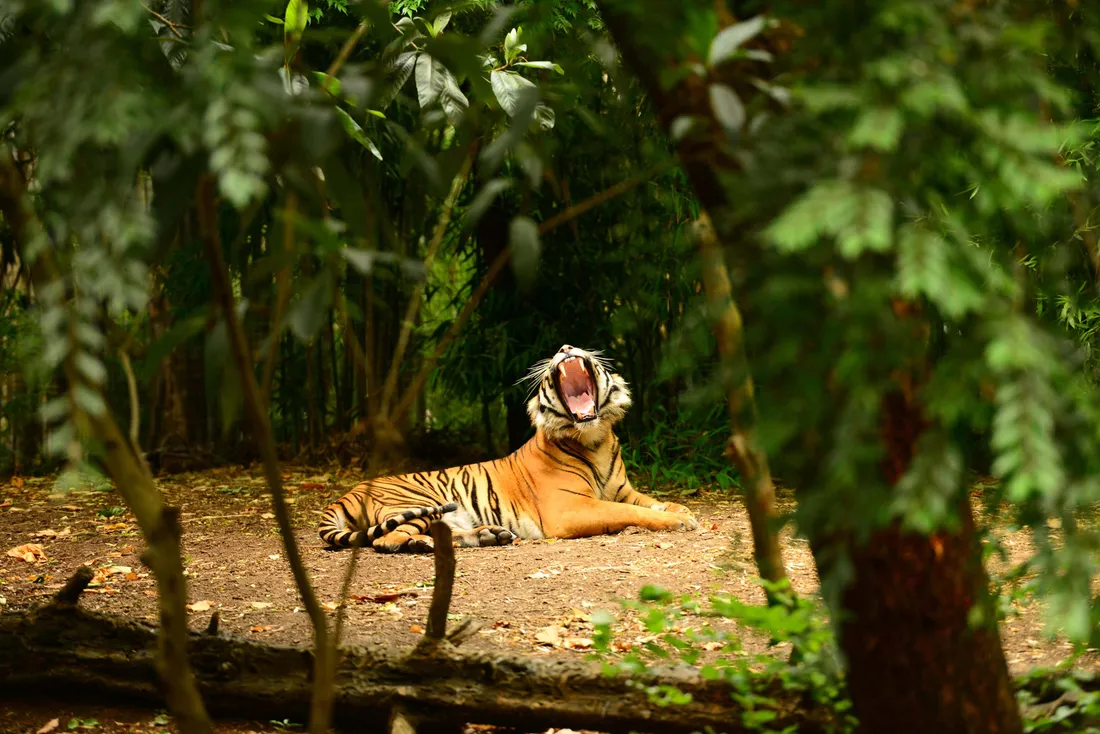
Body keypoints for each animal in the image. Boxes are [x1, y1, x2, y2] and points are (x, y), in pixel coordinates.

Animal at [318, 344, 698, 553]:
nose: (565, 348)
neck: (596, 439)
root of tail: (346, 493)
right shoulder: (570, 508)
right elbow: (629, 513)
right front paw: (678, 521)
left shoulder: (623, 490)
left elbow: (652, 501)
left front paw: (682, 511)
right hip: (415, 503)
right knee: (386, 538)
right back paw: (421, 545)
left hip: (445, 512)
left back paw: (489, 535)